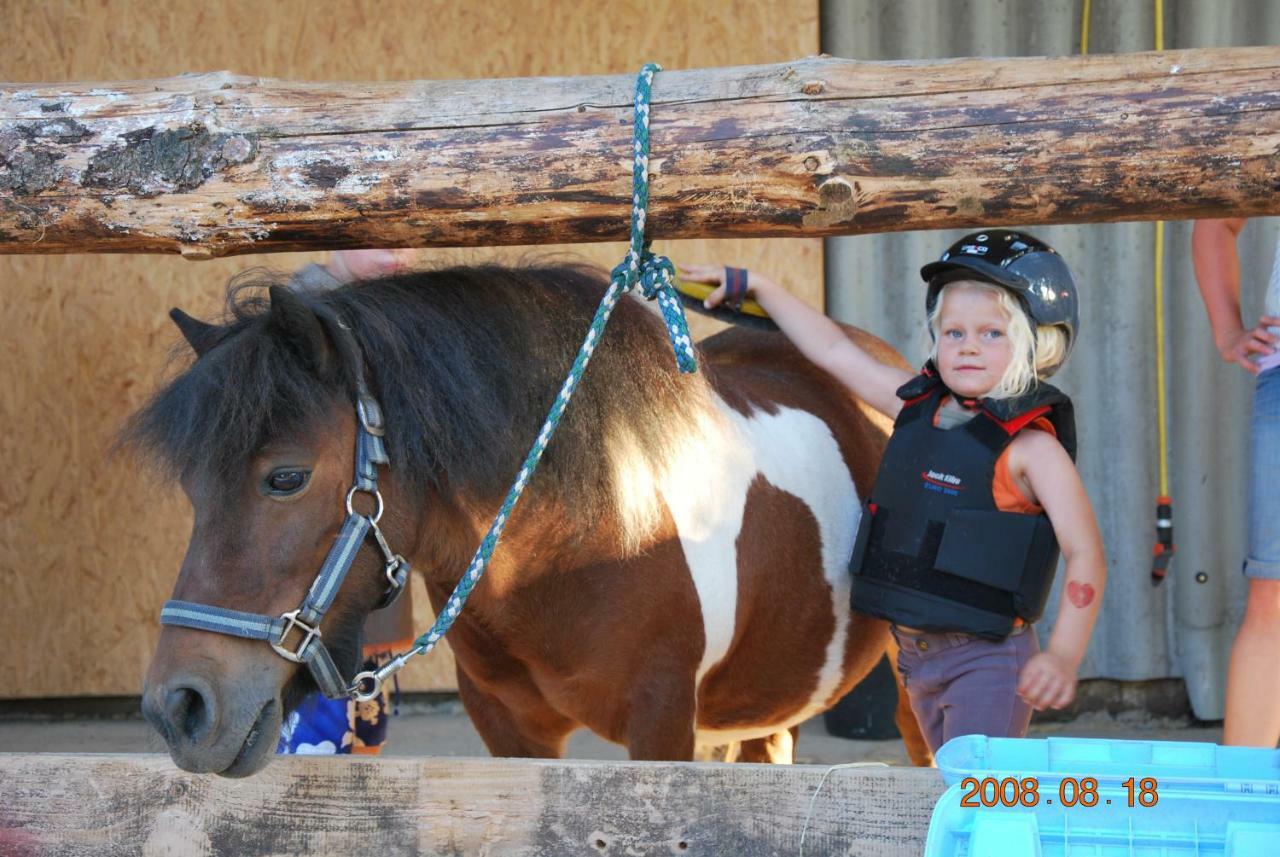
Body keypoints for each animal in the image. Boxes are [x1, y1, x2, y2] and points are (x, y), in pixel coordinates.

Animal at [132, 263, 931, 777]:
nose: (180, 709)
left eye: (286, 478)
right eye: (194, 488)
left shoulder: (663, 723)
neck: (588, 539)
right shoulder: (509, 730)